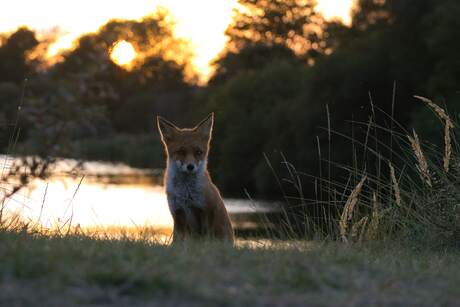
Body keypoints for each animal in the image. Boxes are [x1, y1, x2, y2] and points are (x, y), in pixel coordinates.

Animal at [157, 113, 234, 245]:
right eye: (181, 152)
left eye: (198, 152)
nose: (190, 166)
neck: (186, 194)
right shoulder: (178, 214)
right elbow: (177, 242)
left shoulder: (205, 213)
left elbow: (205, 242)